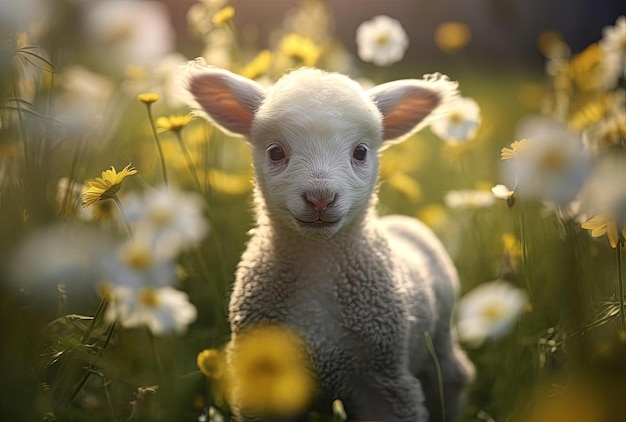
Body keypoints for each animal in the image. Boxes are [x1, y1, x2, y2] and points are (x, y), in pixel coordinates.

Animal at [183, 60, 470, 422]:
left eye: (360, 152)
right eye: (275, 152)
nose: (320, 198)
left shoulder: (386, 382)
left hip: (441, 337)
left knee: (453, 376)